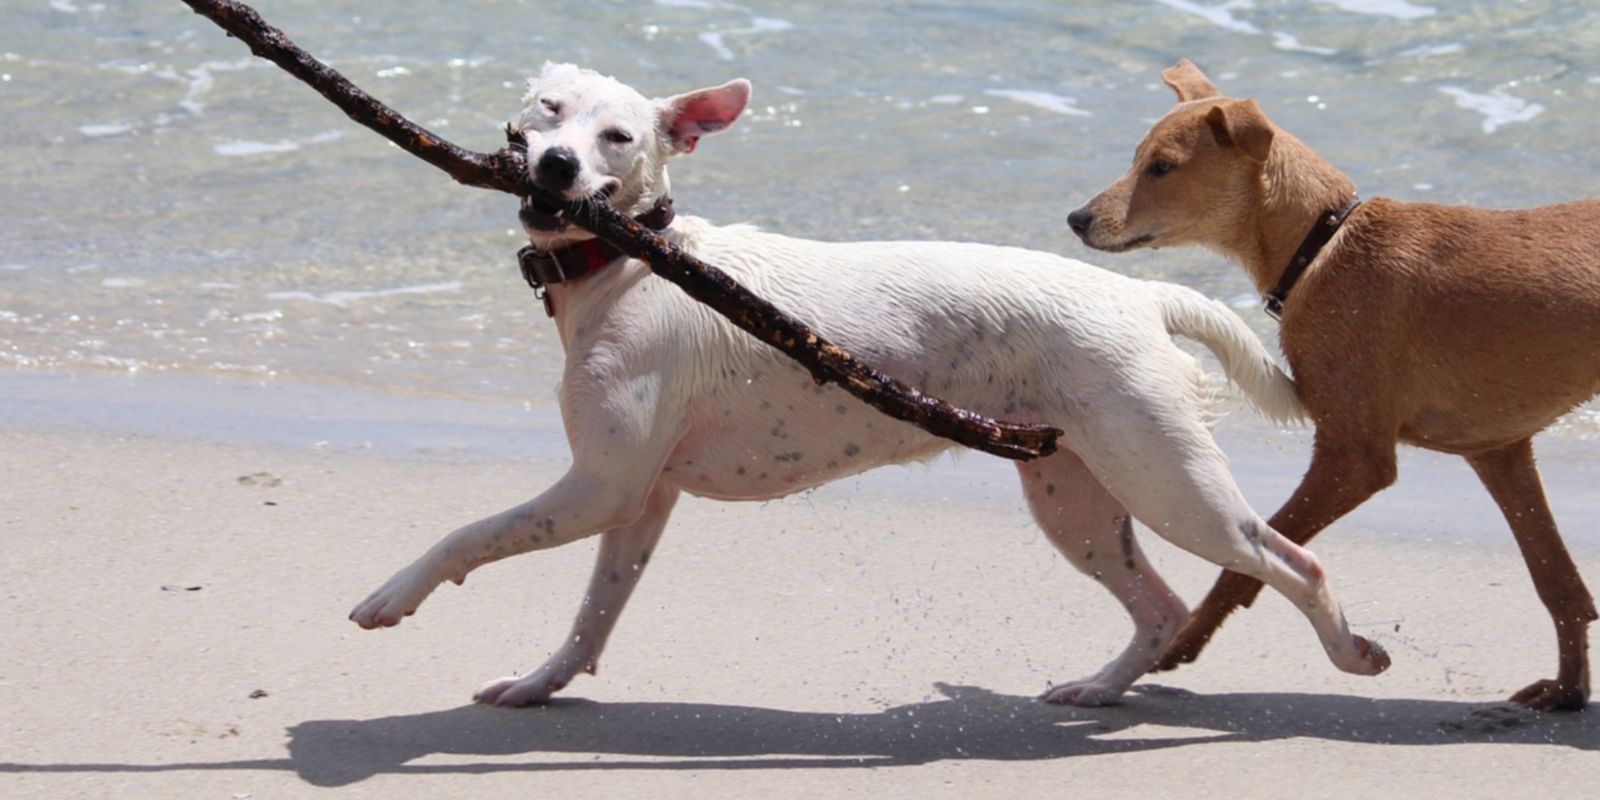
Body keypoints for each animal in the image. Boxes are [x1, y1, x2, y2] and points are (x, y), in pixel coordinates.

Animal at [347, 65, 1388, 710]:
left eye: (618, 137)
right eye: (546, 107)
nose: (557, 165)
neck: (631, 260)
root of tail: (1138, 294)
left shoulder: (597, 487)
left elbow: (468, 534)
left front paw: (391, 596)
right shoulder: (639, 499)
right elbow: (593, 613)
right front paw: (541, 685)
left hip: (1169, 484)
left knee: (1292, 563)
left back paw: (1349, 651)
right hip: (1080, 499)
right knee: (1163, 608)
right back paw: (1099, 690)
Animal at [1062, 62, 1600, 713]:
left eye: (1162, 167)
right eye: (1137, 158)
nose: (1076, 219)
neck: (1321, 245)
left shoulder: (1354, 458)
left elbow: (1252, 560)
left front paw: (1182, 643)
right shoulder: (1499, 450)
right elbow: (1559, 582)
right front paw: (1568, 689)